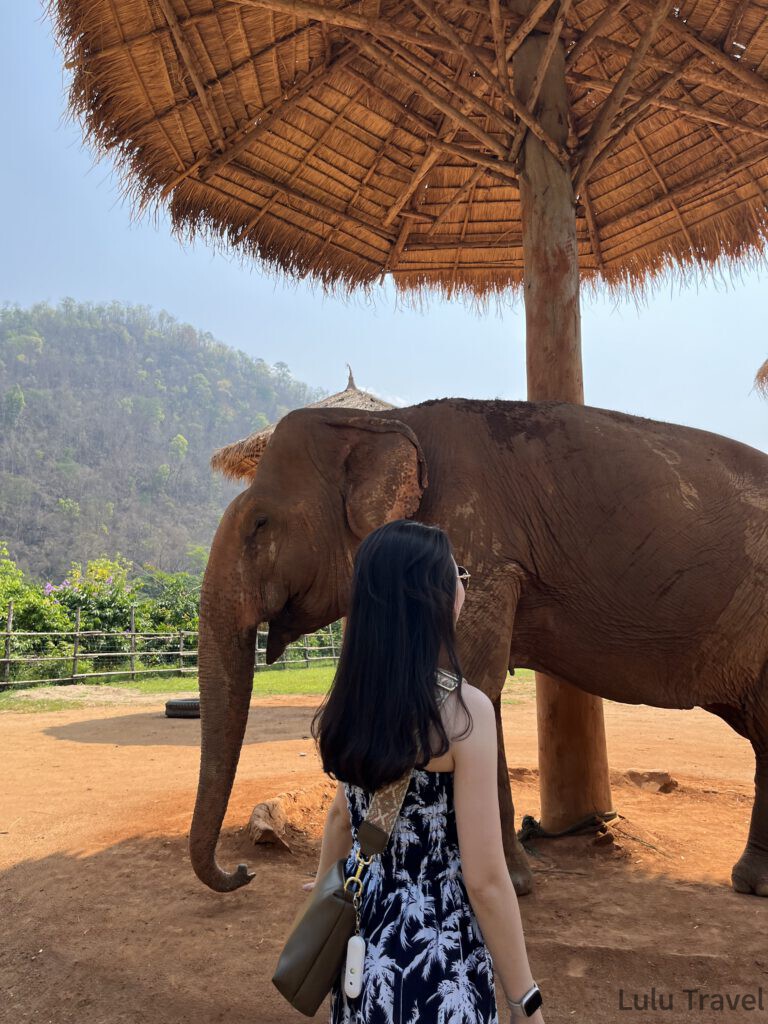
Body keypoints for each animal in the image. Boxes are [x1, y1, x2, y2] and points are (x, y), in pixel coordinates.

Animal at [190, 398, 768, 898]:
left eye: (260, 523)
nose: (242, 871)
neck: (388, 422)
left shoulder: (475, 552)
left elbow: (468, 684)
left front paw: (495, 884)